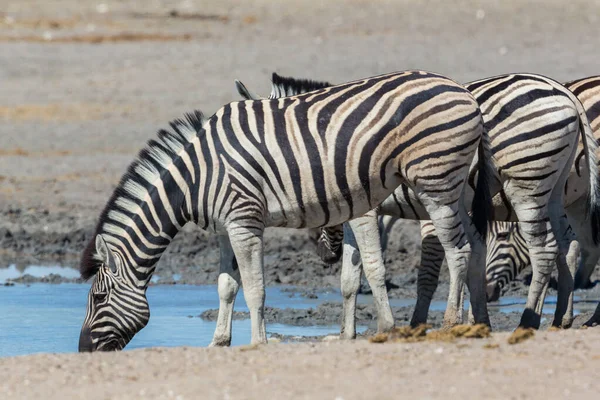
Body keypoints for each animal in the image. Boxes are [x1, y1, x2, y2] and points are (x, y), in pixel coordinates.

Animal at [77, 70, 490, 352]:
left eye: (98, 299)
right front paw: (219, 342)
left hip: (434, 183)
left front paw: (258, 342)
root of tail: (463, 92)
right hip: (454, 189)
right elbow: (227, 286)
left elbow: (256, 288)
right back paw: (479, 323)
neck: (195, 177)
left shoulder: (245, 221)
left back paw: (451, 324)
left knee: (457, 250)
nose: (83, 350)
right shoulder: (225, 228)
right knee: (475, 245)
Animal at [240, 71, 600, 334]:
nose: (325, 255)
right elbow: (351, 280)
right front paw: (346, 334)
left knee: (552, 247)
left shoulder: (378, 209)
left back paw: (539, 321)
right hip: (558, 191)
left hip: (533, 182)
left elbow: (390, 267)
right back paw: (561, 319)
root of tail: (562, 91)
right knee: (567, 245)